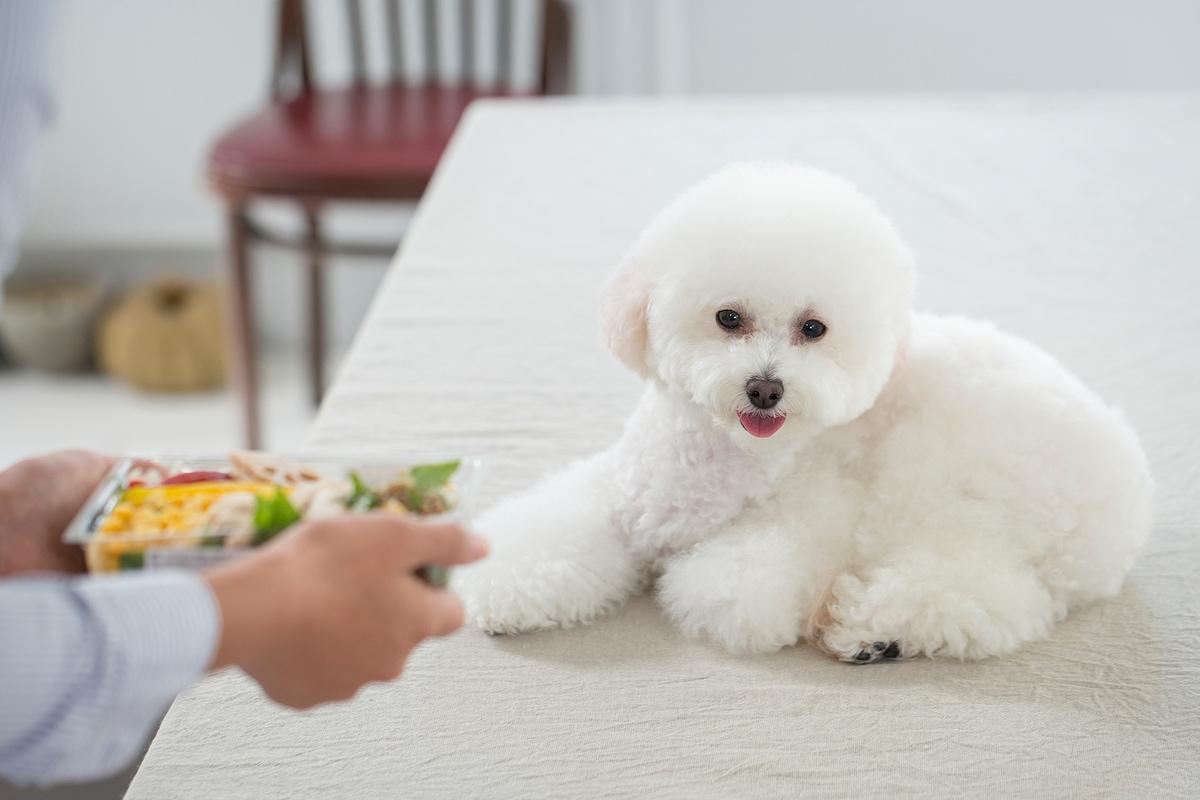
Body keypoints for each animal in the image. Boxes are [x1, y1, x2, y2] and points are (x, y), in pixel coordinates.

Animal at [456, 160, 1152, 662]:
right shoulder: (620, 497)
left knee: (989, 598)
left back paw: (867, 629)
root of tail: (1120, 519)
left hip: (947, 489)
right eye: (728, 317)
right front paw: (506, 595)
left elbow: (727, 589)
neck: (724, 456)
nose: (766, 388)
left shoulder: (804, 523)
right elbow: (545, 541)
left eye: (813, 329)